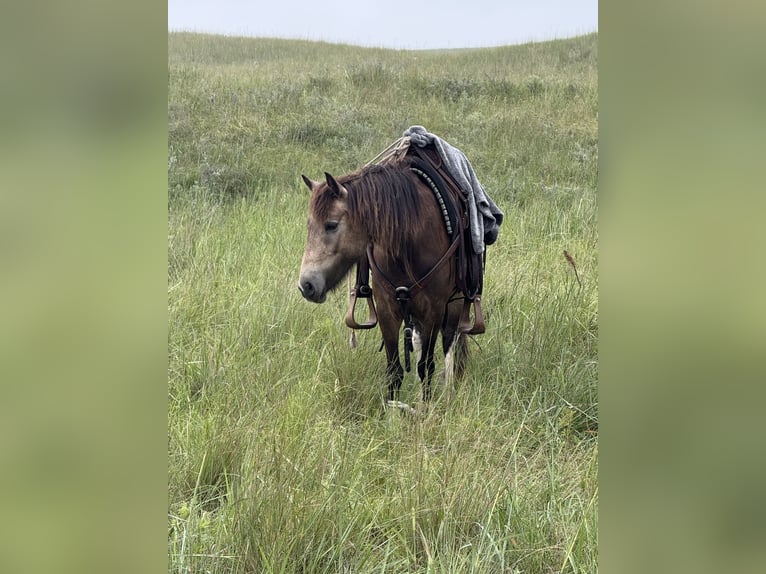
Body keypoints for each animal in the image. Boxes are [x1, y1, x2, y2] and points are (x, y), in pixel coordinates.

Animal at [297, 162, 468, 404]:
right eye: (309, 225)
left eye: (331, 225)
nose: (306, 285)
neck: (407, 245)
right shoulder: (387, 311)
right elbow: (394, 370)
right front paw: (393, 410)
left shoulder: (433, 312)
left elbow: (426, 367)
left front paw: (426, 409)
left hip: (454, 305)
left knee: (449, 345)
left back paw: (446, 392)